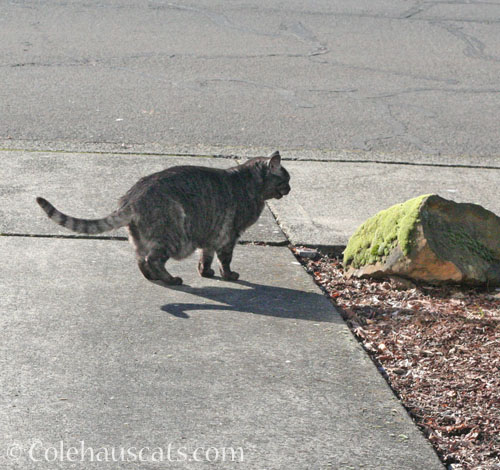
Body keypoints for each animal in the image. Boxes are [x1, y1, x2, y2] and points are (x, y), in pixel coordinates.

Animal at [37, 151, 292, 284]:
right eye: (286, 179)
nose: (290, 189)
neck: (250, 183)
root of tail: (133, 196)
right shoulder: (229, 236)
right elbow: (224, 260)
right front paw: (228, 275)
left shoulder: (211, 234)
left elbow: (206, 257)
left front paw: (205, 272)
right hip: (175, 237)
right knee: (152, 259)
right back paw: (170, 279)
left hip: (142, 237)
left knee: (140, 258)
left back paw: (153, 277)